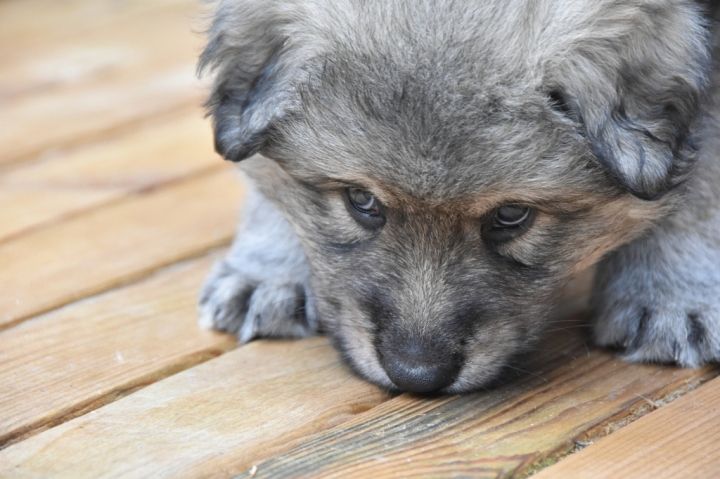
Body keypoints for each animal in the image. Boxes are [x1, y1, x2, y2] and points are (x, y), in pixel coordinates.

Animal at [197, 0, 720, 393]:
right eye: (361, 200)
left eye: (512, 215)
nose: (417, 375)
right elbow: (264, 175)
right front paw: (269, 267)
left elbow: (698, 181)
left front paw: (670, 296)